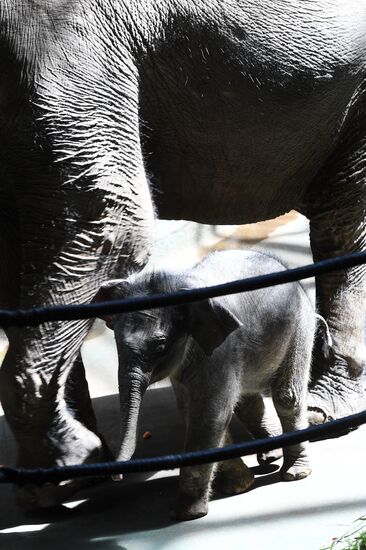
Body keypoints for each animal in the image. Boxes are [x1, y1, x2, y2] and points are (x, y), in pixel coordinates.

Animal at [96, 250, 316, 520]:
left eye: (160, 346)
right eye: (116, 342)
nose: (116, 477)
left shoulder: (219, 353)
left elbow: (208, 416)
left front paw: (185, 514)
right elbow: (192, 412)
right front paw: (239, 486)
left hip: (301, 324)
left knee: (287, 396)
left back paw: (295, 473)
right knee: (247, 400)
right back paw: (270, 455)